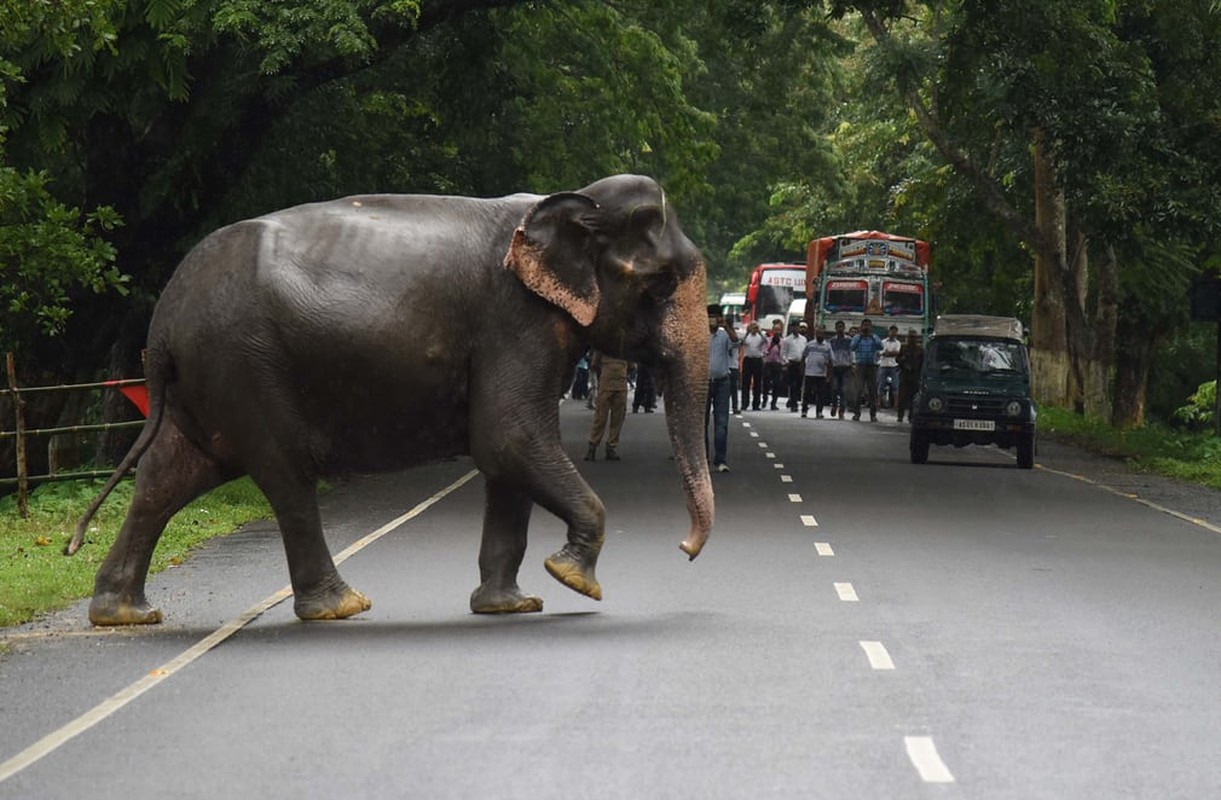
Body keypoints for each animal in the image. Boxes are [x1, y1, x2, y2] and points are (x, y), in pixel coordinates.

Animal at [69, 173, 713, 625]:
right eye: (660, 284)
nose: (684, 549)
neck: (573, 200)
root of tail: (163, 320)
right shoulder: (515, 322)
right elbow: (509, 438)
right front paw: (574, 581)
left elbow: (507, 458)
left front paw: (511, 605)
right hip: (243, 364)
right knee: (283, 475)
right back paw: (342, 606)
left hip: (206, 380)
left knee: (170, 474)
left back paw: (122, 613)